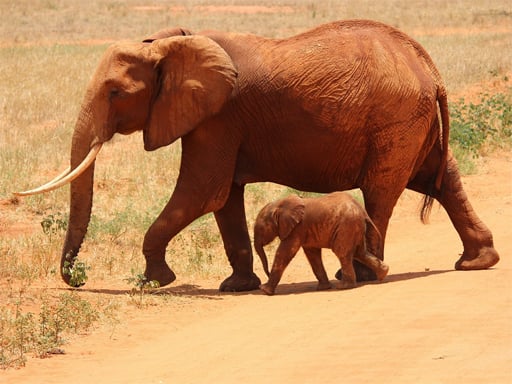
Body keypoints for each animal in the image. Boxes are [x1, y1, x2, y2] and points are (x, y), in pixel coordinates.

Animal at [254, 194, 390, 296]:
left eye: (261, 229)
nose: (266, 274)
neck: (280, 205)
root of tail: (363, 211)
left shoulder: (297, 228)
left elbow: (284, 253)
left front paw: (264, 290)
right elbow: (312, 255)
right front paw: (323, 288)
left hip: (347, 226)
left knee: (342, 253)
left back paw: (344, 286)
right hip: (354, 227)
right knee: (360, 252)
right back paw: (383, 273)